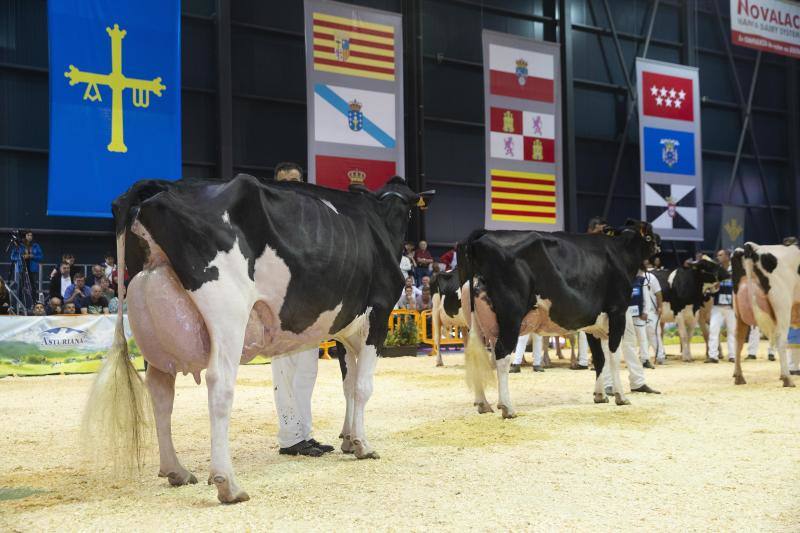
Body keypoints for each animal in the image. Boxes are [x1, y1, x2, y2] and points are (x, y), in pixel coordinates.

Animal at [81, 174, 433, 503]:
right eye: (410, 211)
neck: (380, 221)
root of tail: (161, 186)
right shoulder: (378, 315)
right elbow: (362, 387)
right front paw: (362, 444)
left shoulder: (343, 332)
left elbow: (347, 385)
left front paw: (347, 438)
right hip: (227, 309)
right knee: (219, 385)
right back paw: (227, 484)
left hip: (153, 325)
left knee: (160, 392)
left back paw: (176, 471)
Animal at [456, 220, 660, 417]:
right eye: (650, 236)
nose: (659, 252)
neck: (620, 252)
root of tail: (482, 234)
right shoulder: (617, 312)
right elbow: (613, 356)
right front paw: (621, 397)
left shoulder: (592, 324)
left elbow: (600, 358)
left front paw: (600, 395)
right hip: (511, 314)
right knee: (502, 354)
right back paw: (507, 408)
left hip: (475, 318)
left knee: (477, 354)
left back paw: (483, 404)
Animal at [731, 241, 800, 386]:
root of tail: (751, 246)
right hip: (783, 305)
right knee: (780, 338)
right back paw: (787, 378)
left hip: (738, 312)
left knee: (738, 338)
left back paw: (739, 377)